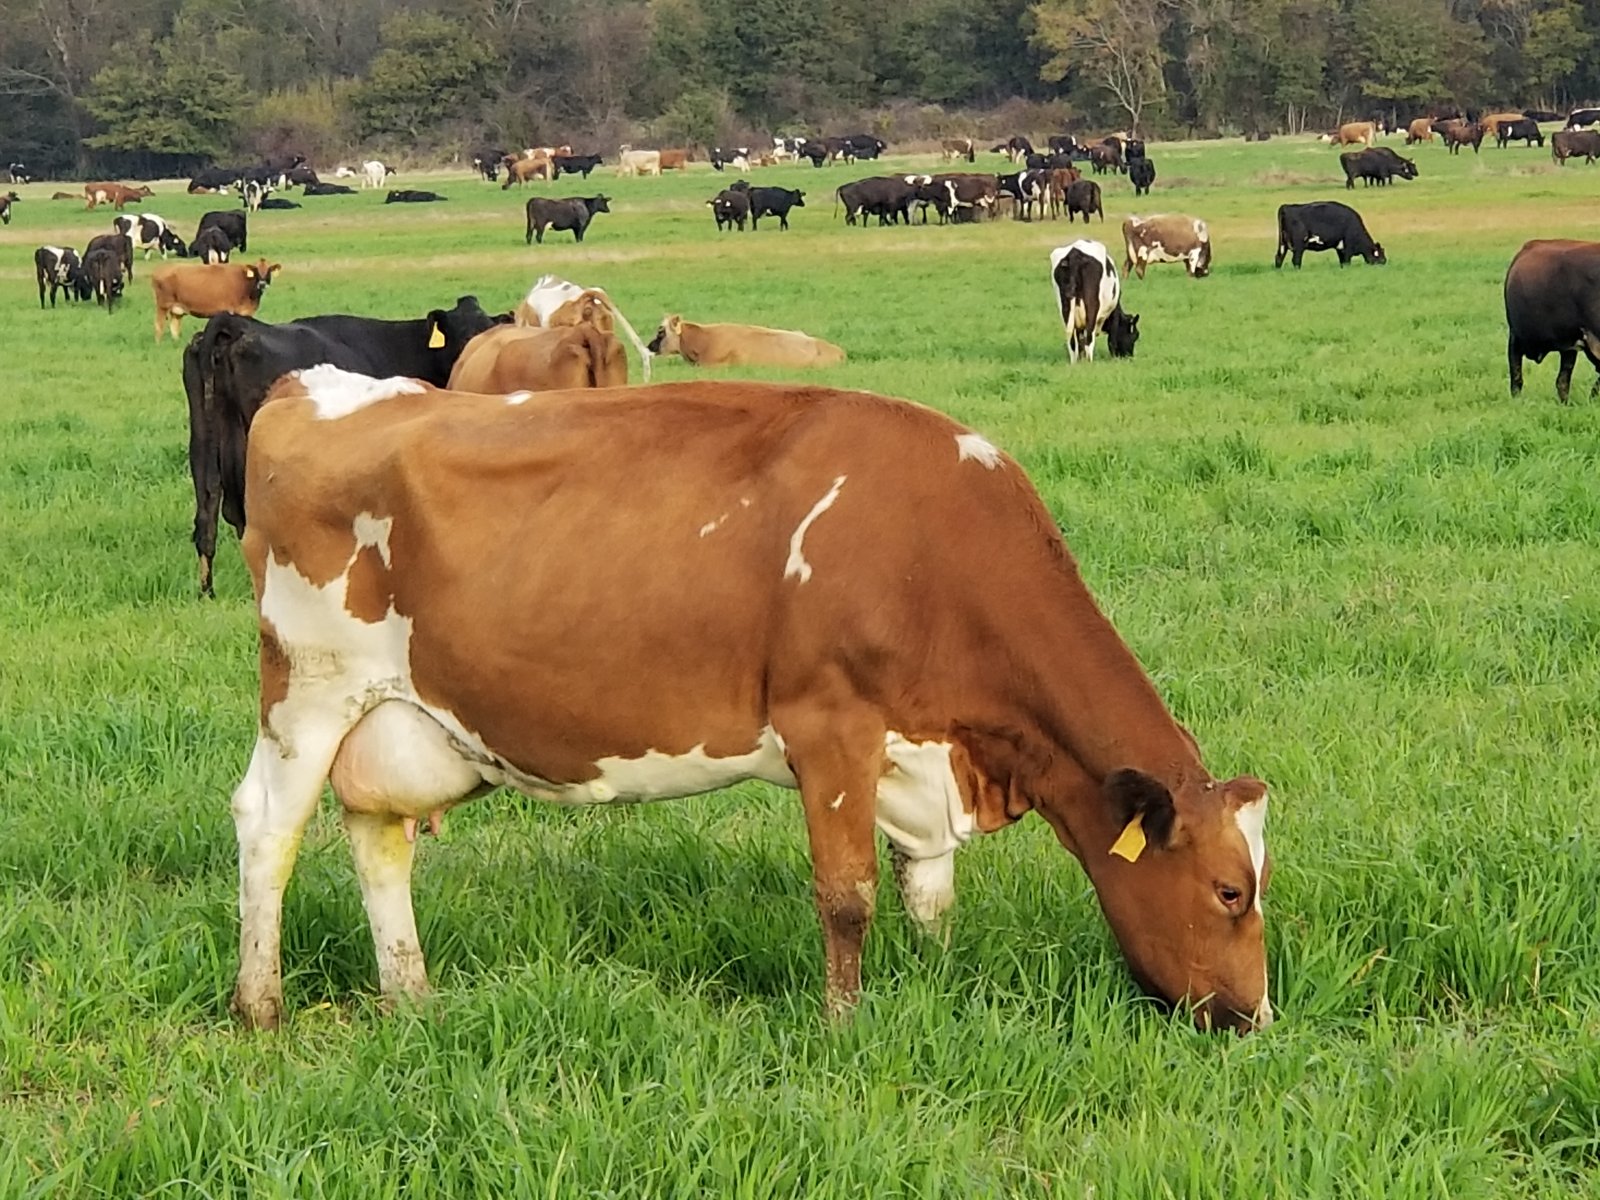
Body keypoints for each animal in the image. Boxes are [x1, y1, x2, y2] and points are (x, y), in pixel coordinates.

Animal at [150, 259, 281, 343]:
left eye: (269, 271)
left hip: (176, 309)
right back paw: (158, 344)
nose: (262, 284)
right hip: (162, 305)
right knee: (158, 325)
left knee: (174, 326)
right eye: (256, 271)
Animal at [224, 371, 1275, 1034]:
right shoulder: (831, 729)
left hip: (388, 717)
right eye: (1230, 890)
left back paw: (411, 999)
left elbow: (929, 893)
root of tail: (314, 388)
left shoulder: (917, 755)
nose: (1257, 1018)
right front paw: (845, 1027)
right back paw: (260, 1008)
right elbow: (848, 897)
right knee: (268, 830)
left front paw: (937, 982)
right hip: (308, 690)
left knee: (378, 839)